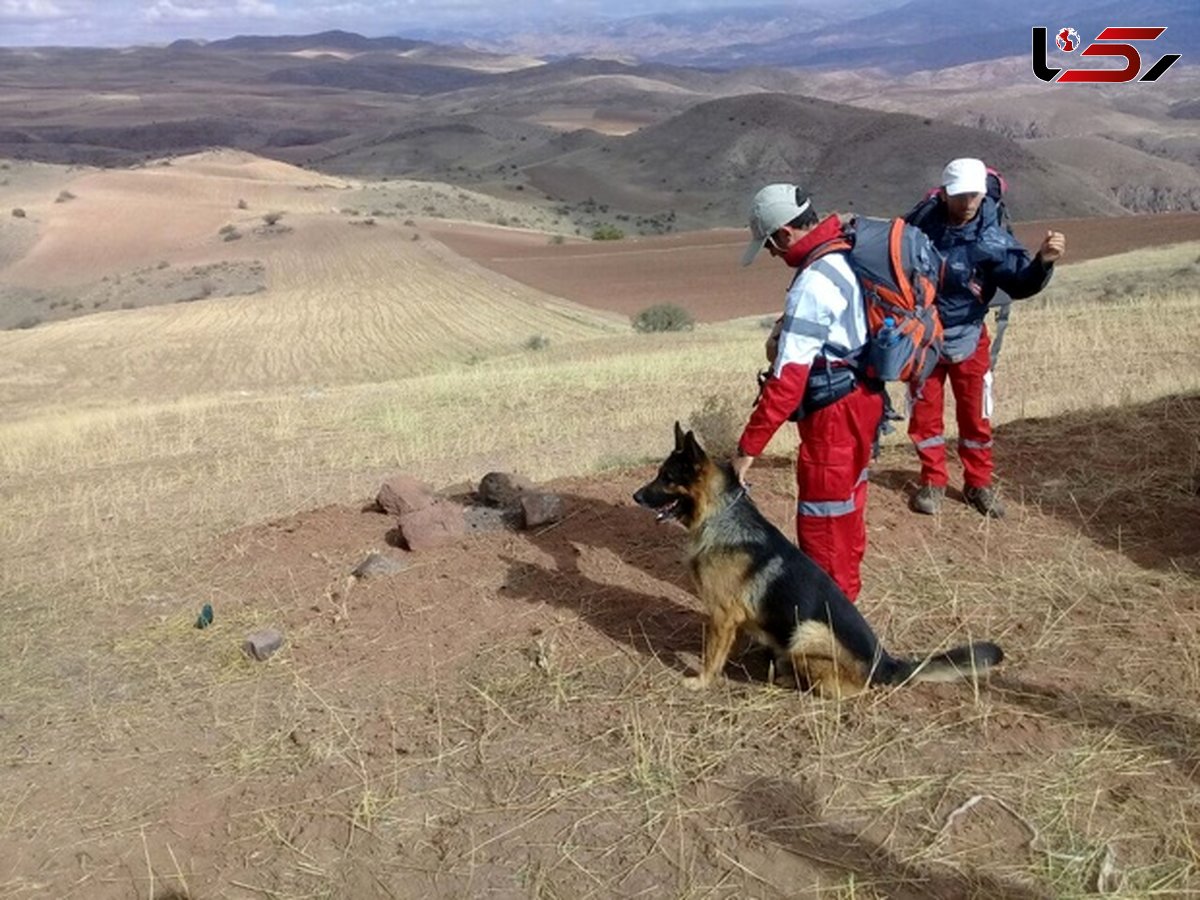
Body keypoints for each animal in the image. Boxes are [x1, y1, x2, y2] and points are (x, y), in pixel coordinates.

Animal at [628, 427, 1003, 700]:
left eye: (666, 478)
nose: (635, 496)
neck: (720, 515)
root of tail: (886, 663)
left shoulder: (722, 614)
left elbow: (711, 654)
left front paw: (702, 680)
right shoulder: (729, 620)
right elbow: (723, 648)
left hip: (808, 631)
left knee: (835, 688)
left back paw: (786, 679)